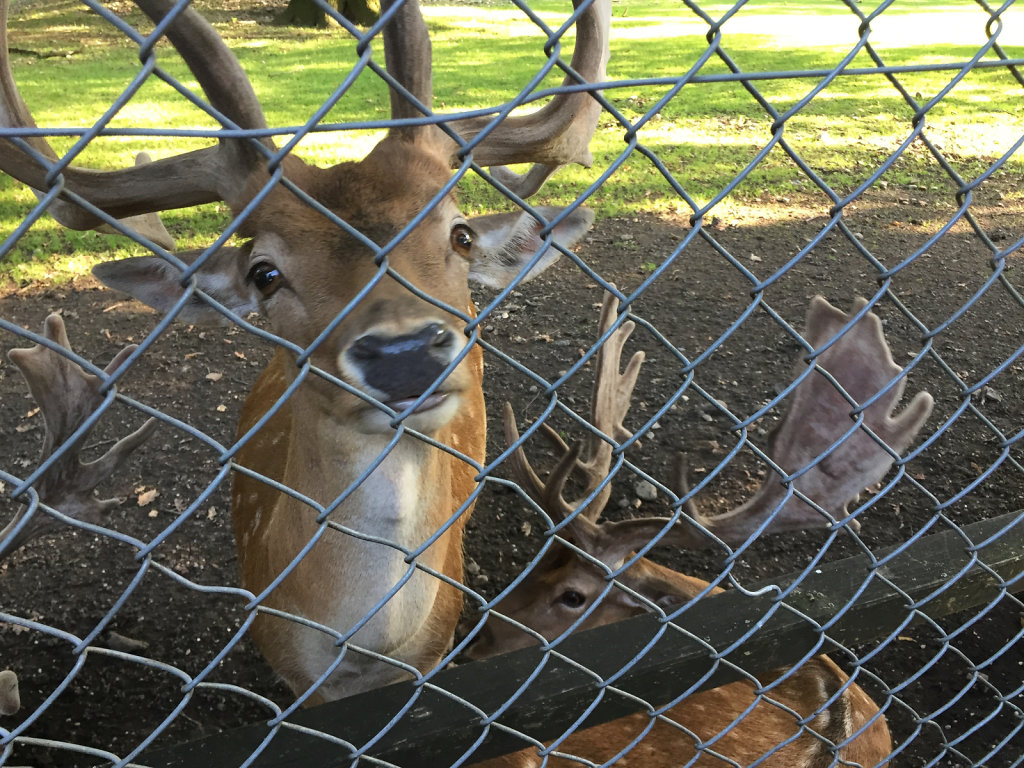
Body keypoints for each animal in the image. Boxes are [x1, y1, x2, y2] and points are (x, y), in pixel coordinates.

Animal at [0, 0, 606, 708]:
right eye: (264, 273)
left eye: (458, 235)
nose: (404, 352)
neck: (365, 656)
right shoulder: (289, 668)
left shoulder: (434, 654)